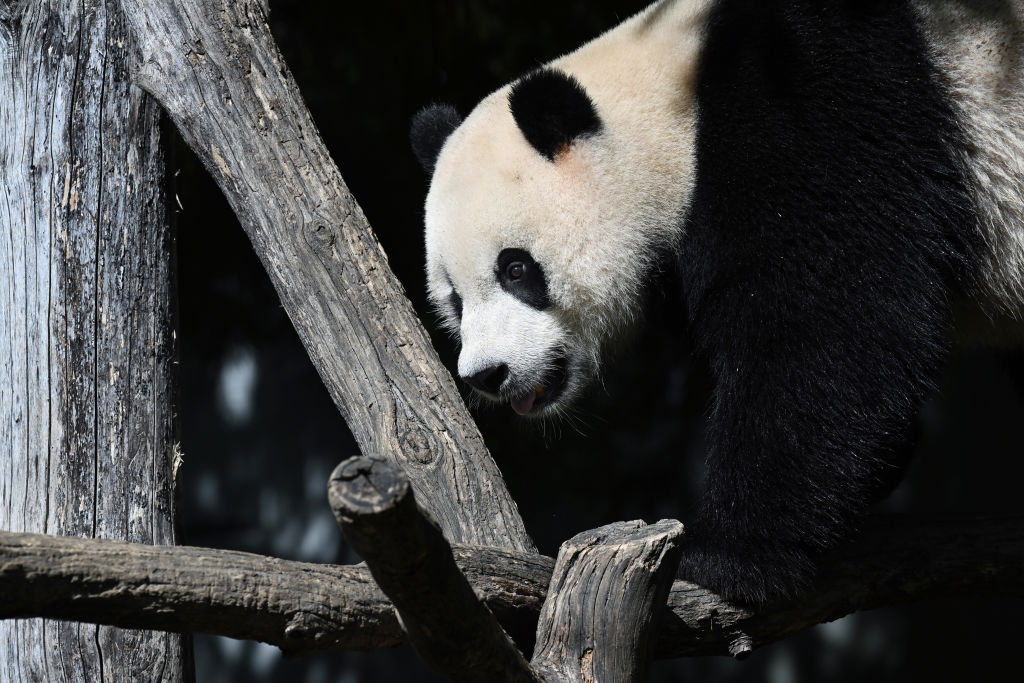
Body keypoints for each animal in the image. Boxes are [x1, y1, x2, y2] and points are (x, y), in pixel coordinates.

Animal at [410, 0, 1024, 605]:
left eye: (516, 269)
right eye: (454, 300)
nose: (488, 374)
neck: (673, 104)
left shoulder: (810, 111)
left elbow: (830, 319)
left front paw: (725, 554)